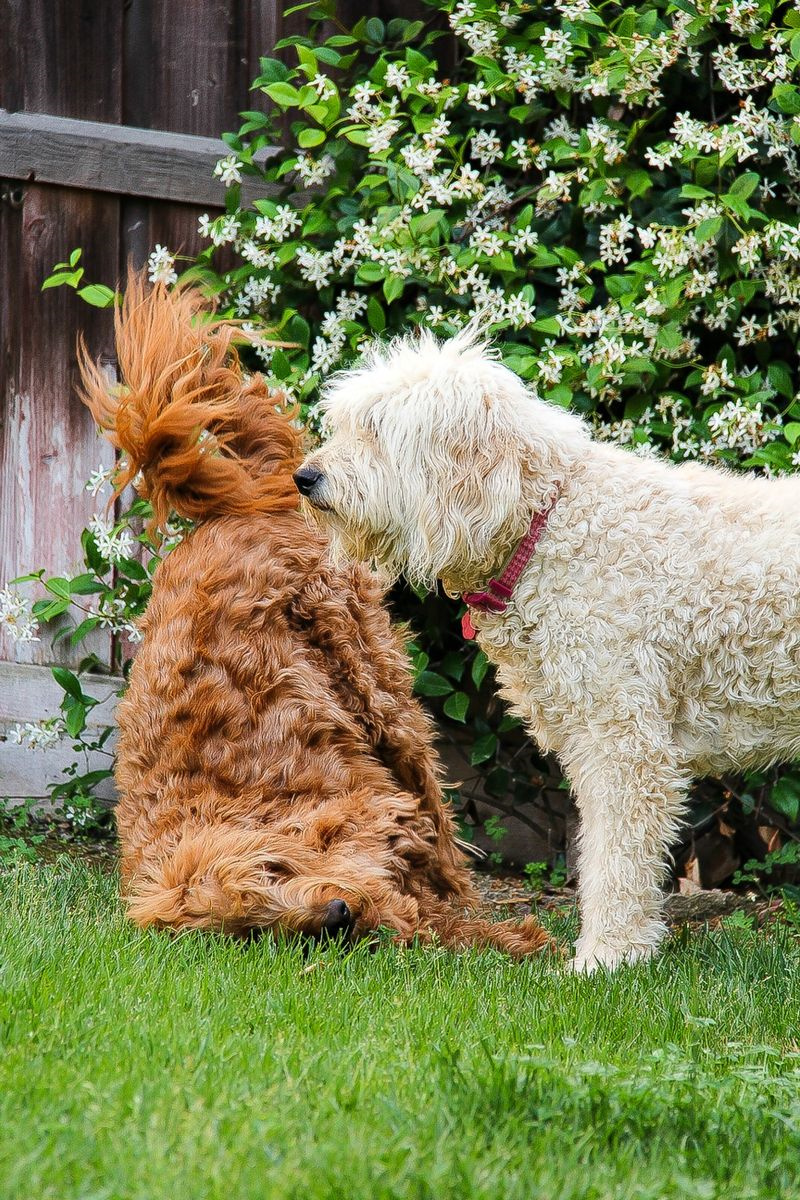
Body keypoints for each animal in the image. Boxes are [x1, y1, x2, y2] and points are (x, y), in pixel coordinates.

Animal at [76, 276, 551, 960]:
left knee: (429, 792)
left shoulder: (373, 809)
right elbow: (424, 915)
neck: (244, 806)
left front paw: (514, 937)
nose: (333, 917)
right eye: (251, 929)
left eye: (269, 875)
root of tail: (232, 511)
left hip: (375, 681)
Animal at [297, 331, 800, 974]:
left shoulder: (624, 742)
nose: (304, 477)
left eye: (377, 431)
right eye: (345, 423)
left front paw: (606, 958)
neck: (547, 528)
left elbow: (617, 860)